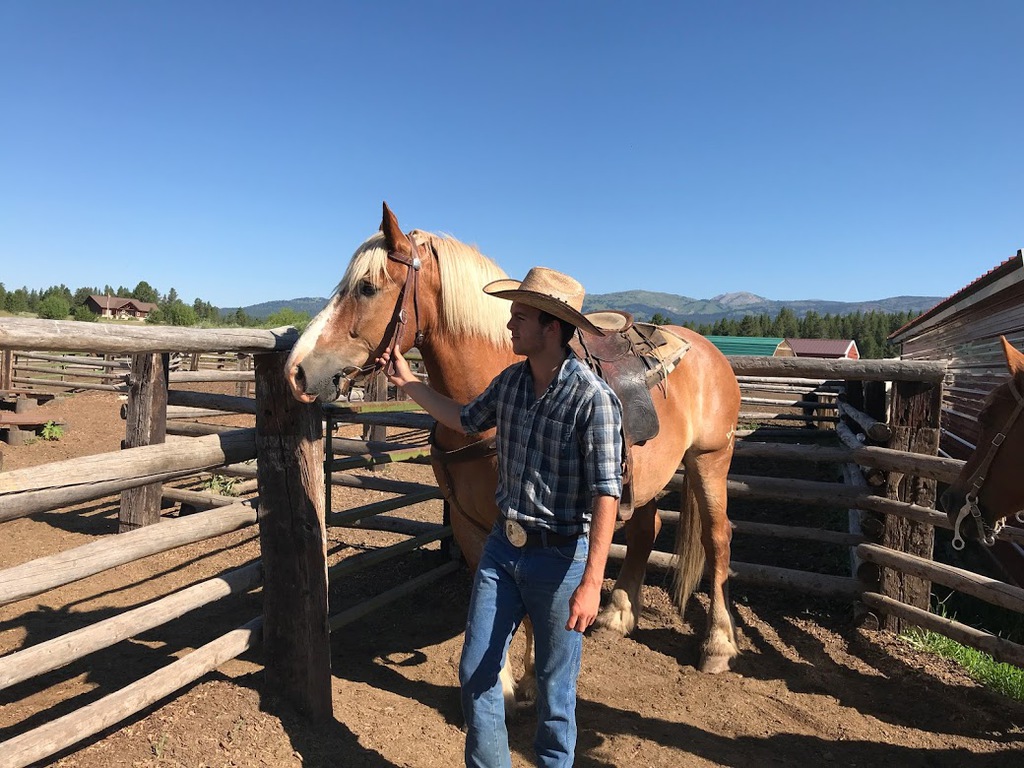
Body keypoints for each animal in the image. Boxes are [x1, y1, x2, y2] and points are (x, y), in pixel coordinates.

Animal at [284, 203, 742, 693]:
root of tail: (706, 350)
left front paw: (528, 680)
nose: (296, 371)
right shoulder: (468, 521)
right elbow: (490, 598)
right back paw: (617, 615)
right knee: (645, 531)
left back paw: (717, 644)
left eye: (367, 287)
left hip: (710, 460)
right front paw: (502, 683)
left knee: (718, 538)